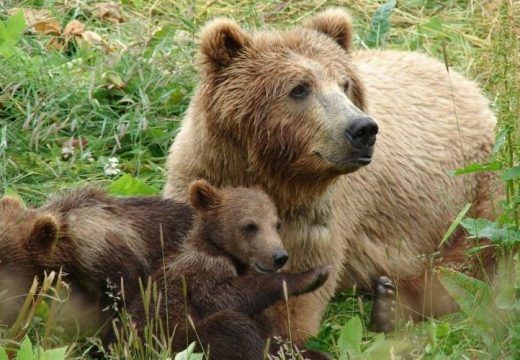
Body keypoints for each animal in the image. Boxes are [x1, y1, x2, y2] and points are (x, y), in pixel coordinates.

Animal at [162, 9, 496, 344]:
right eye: (299, 88)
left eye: (344, 84)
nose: (363, 129)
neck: (273, 176)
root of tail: (461, 78)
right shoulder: (201, 179)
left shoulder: (316, 219)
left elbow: (293, 306)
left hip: (474, 185)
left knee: (470, 259)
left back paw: (391, 305)